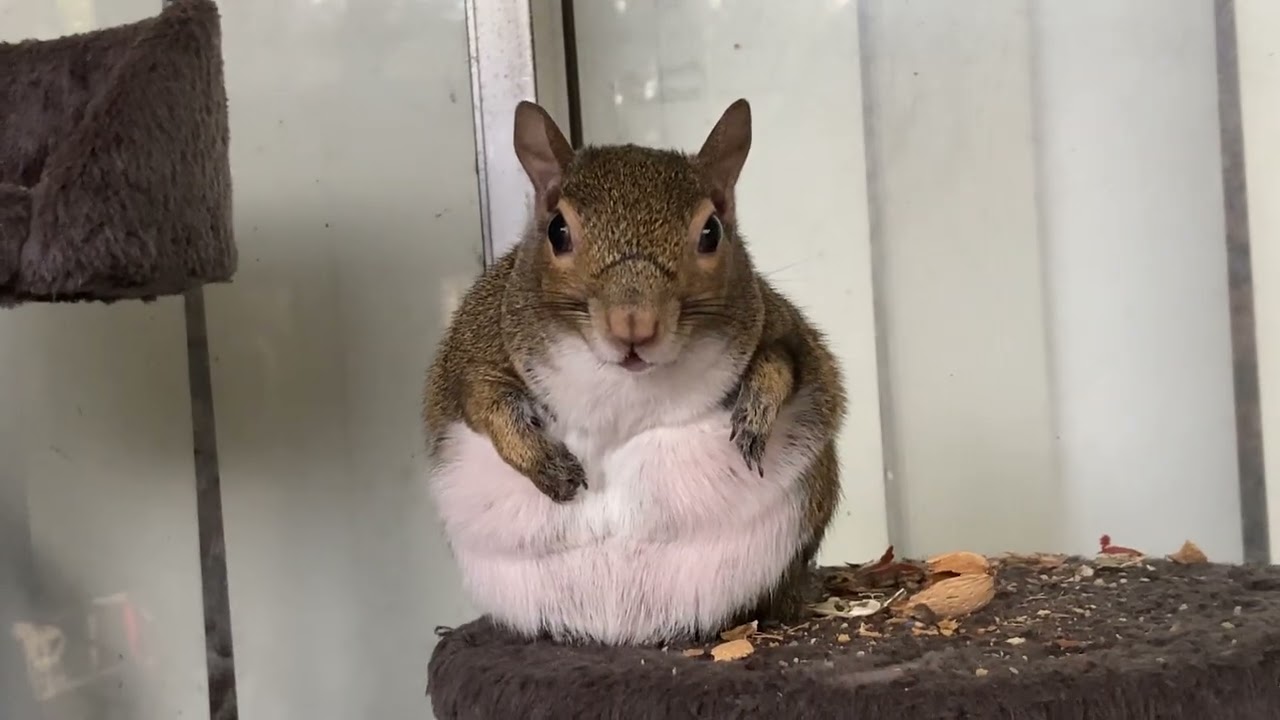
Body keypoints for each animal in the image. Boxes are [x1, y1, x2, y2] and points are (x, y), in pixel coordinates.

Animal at [424, 99, 847, 643]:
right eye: (556, 230)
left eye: (711, 232)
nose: (634, 325)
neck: (623, 382)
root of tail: (617, 631)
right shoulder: (476, 350)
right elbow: (484, 401)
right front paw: (546, 465)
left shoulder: (780, 329)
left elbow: (783, 365)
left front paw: (756, 414)